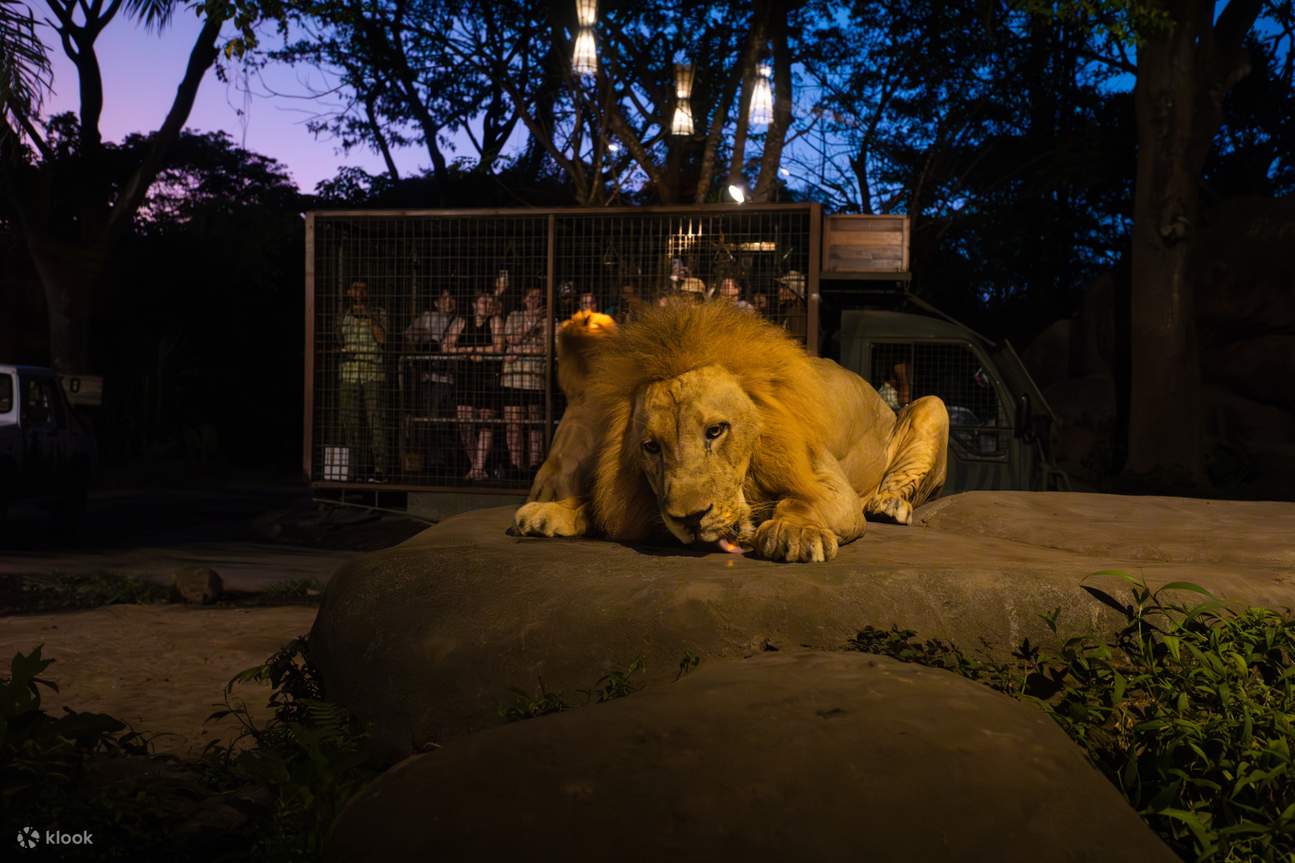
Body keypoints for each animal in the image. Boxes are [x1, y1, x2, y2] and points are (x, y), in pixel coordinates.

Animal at [514, 301, 949, 562]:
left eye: (715, 431)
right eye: (651, 447)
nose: (690, 519)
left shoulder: (830, 488)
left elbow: (801, 501)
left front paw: (794, 531)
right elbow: (600, 503)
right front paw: (549, 510)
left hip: (933, 406)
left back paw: (888, 505)